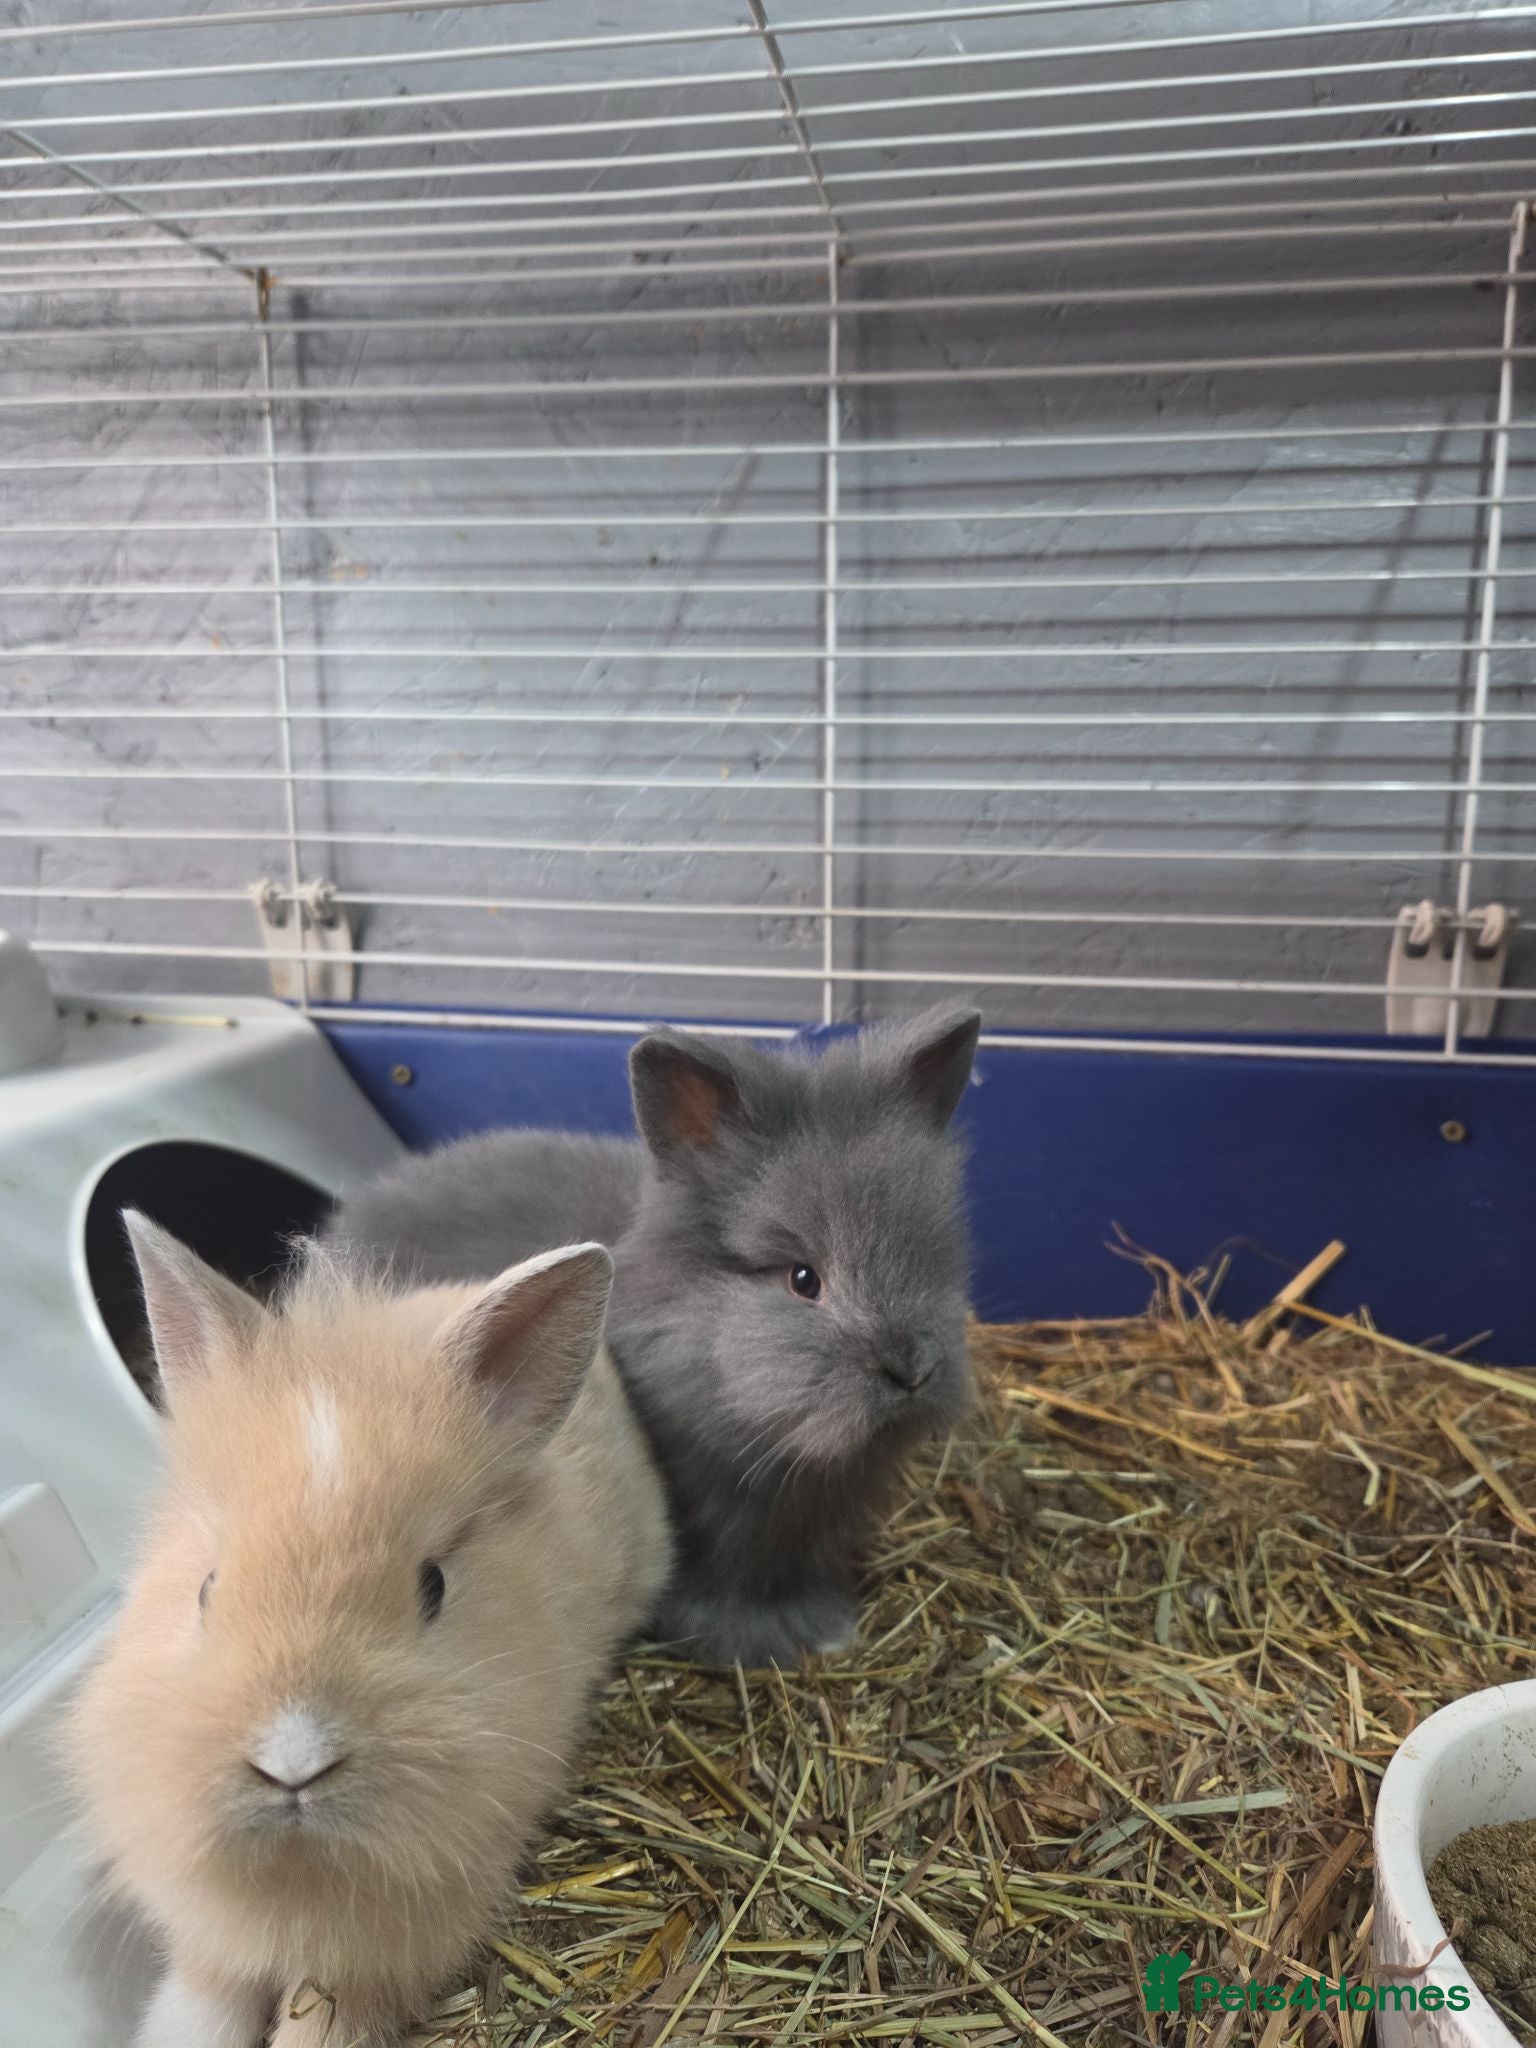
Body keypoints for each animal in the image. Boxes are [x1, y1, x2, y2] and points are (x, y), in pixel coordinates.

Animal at [64, 1213, 672, 2048]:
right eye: (207, 1588)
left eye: (433, 1587)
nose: (292, 1764)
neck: (299, 1868)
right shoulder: (210, 1948)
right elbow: (200, 2007)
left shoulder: (366, 1969)